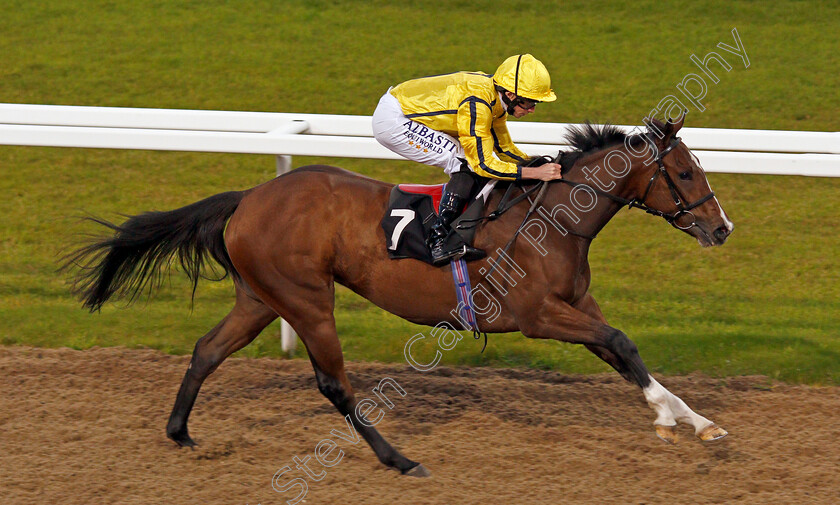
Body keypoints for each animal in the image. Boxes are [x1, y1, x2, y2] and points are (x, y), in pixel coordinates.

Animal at [65, 114, 732, 476]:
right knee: (334, 384)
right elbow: (620, 341)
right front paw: (674, 421)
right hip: (308, 299)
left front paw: (695, 422)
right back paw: (400, 459)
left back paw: (180, 432)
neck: (554, 218)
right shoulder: (538, 315)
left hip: (259, 298)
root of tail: (249, 196)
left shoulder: (576, 307)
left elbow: (626, 352)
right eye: (685, 172)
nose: (721, 228)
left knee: (207, 349)